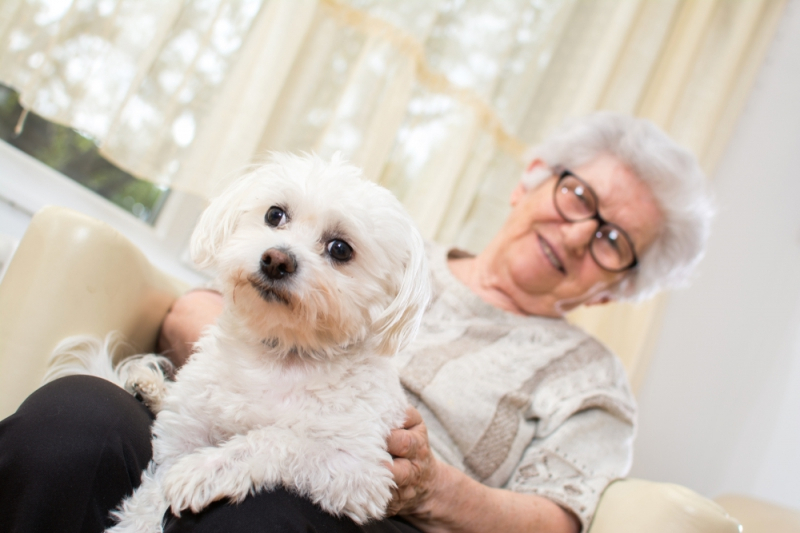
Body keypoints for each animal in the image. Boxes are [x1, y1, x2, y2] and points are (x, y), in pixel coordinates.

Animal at [50, 153, 432, 528]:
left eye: (340, 249)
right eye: (275, 214)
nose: (276, 260)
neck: (279, 353)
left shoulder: (360, 473)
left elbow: (277, 438)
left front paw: (203, 471)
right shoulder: (181, 437)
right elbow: (148, 503)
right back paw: (150, 387)